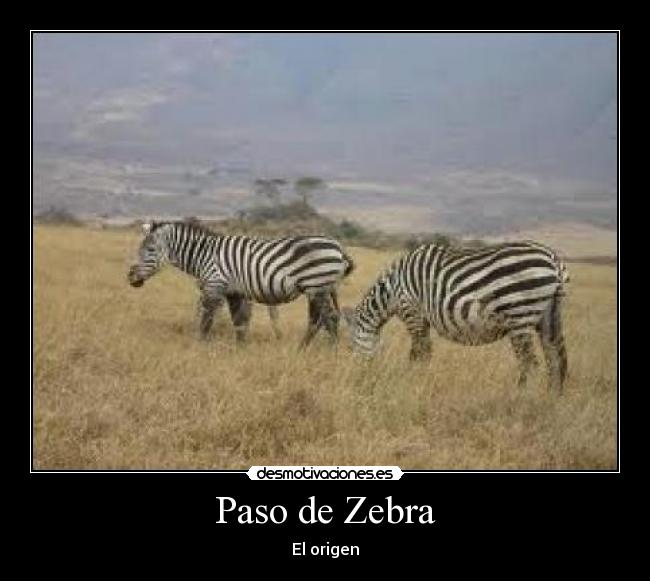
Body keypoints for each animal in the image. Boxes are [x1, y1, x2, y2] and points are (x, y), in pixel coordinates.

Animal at [127, 221, 354, 346]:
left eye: (150, 250)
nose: (131, 278)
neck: (204, 254)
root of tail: (338, 247)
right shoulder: (234, 292)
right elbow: (240, 323)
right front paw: (240, 351)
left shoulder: (214, 286)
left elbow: (206, 322)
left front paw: (198, 347)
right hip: (319, 289)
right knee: (320, 320)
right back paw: (307, 351)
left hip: (317, 286)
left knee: (328, 319)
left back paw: (325, 352)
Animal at [341, 241, 569, 392]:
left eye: (350, 346)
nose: (357, 376)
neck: (391, 291)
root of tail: (553, 258)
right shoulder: (422, 318)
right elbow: (425, 353)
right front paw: (421, 381)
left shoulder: (413, 312)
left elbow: (418, 353)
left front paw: (413, 382)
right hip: (549, 316)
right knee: (555, 359)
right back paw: (550, 398)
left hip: (519, 315)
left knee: (530, 362)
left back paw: (520, 396)